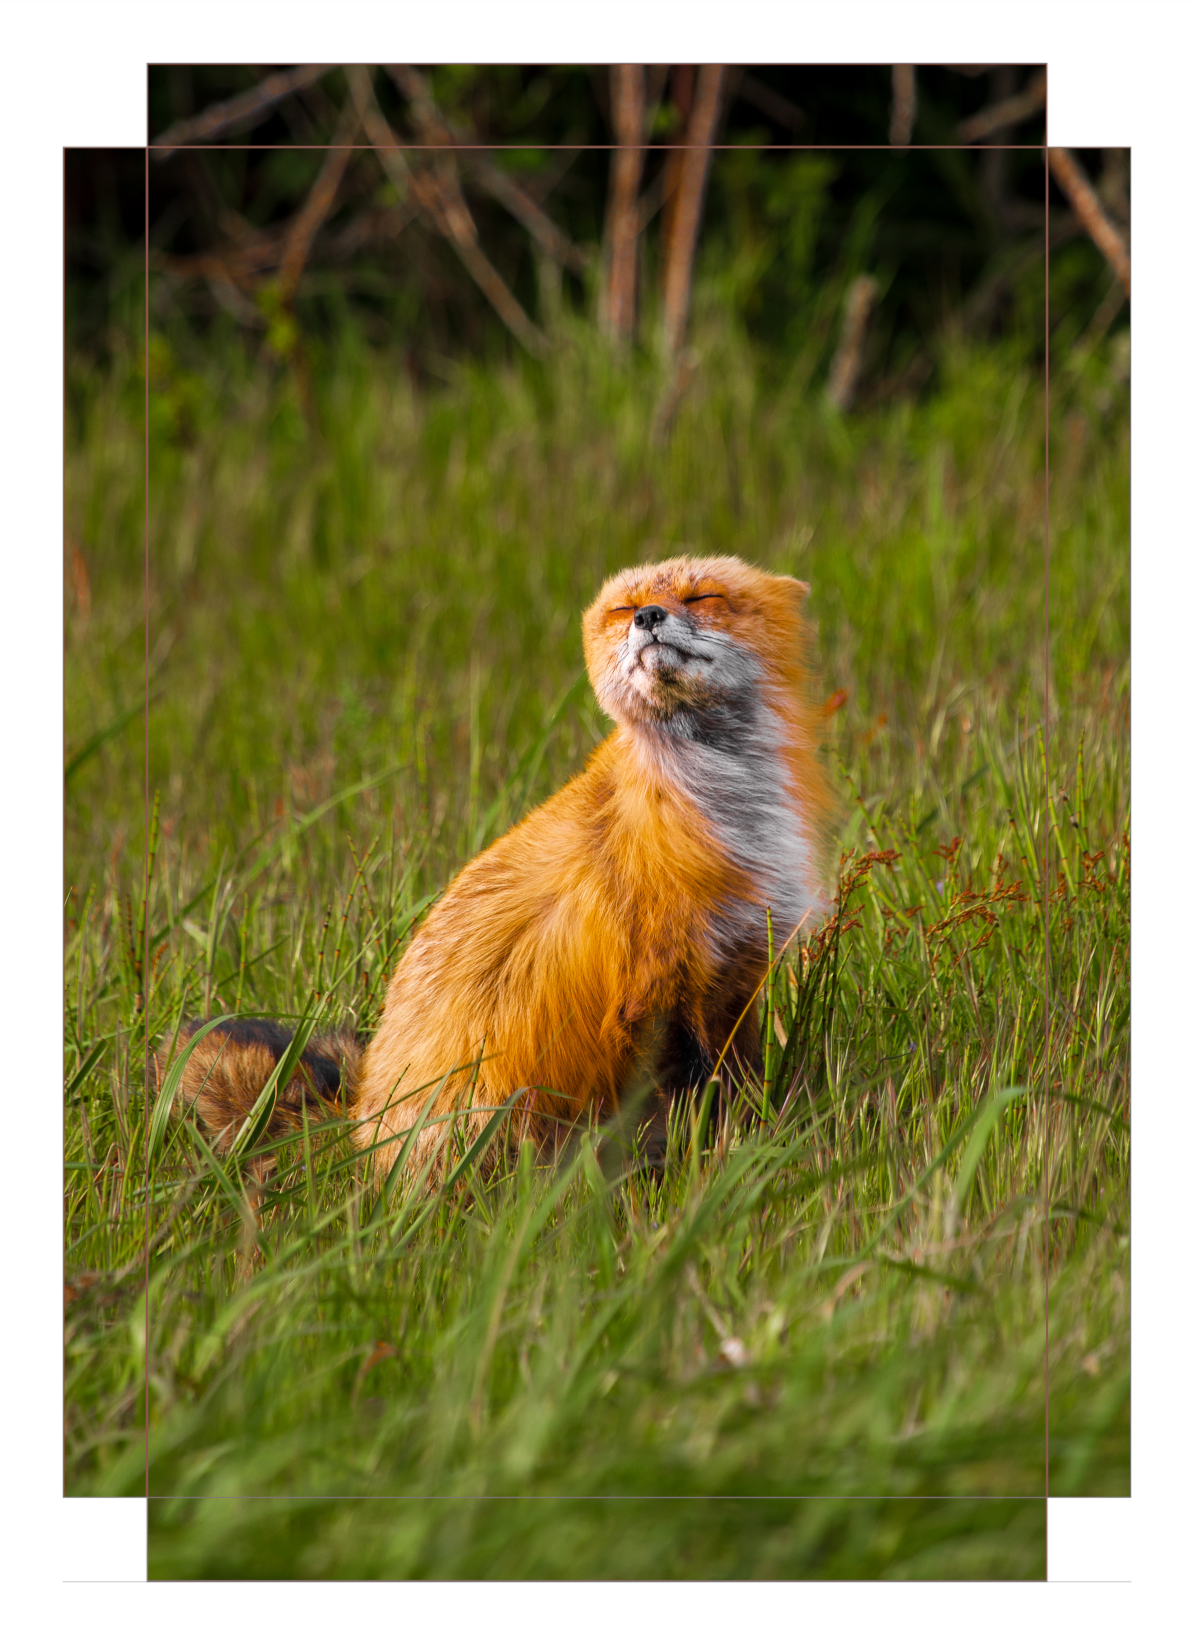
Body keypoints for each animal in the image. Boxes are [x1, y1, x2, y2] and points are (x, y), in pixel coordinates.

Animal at [163, 552, 838, 1184]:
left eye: (702, 596)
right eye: (624, 609)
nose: (648, 618)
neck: (723, 808)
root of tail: (359, 1124)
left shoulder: (736, 973)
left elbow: (744, 1087)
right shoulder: (657, 988)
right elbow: (702, 1104)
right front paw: (721, 1165)